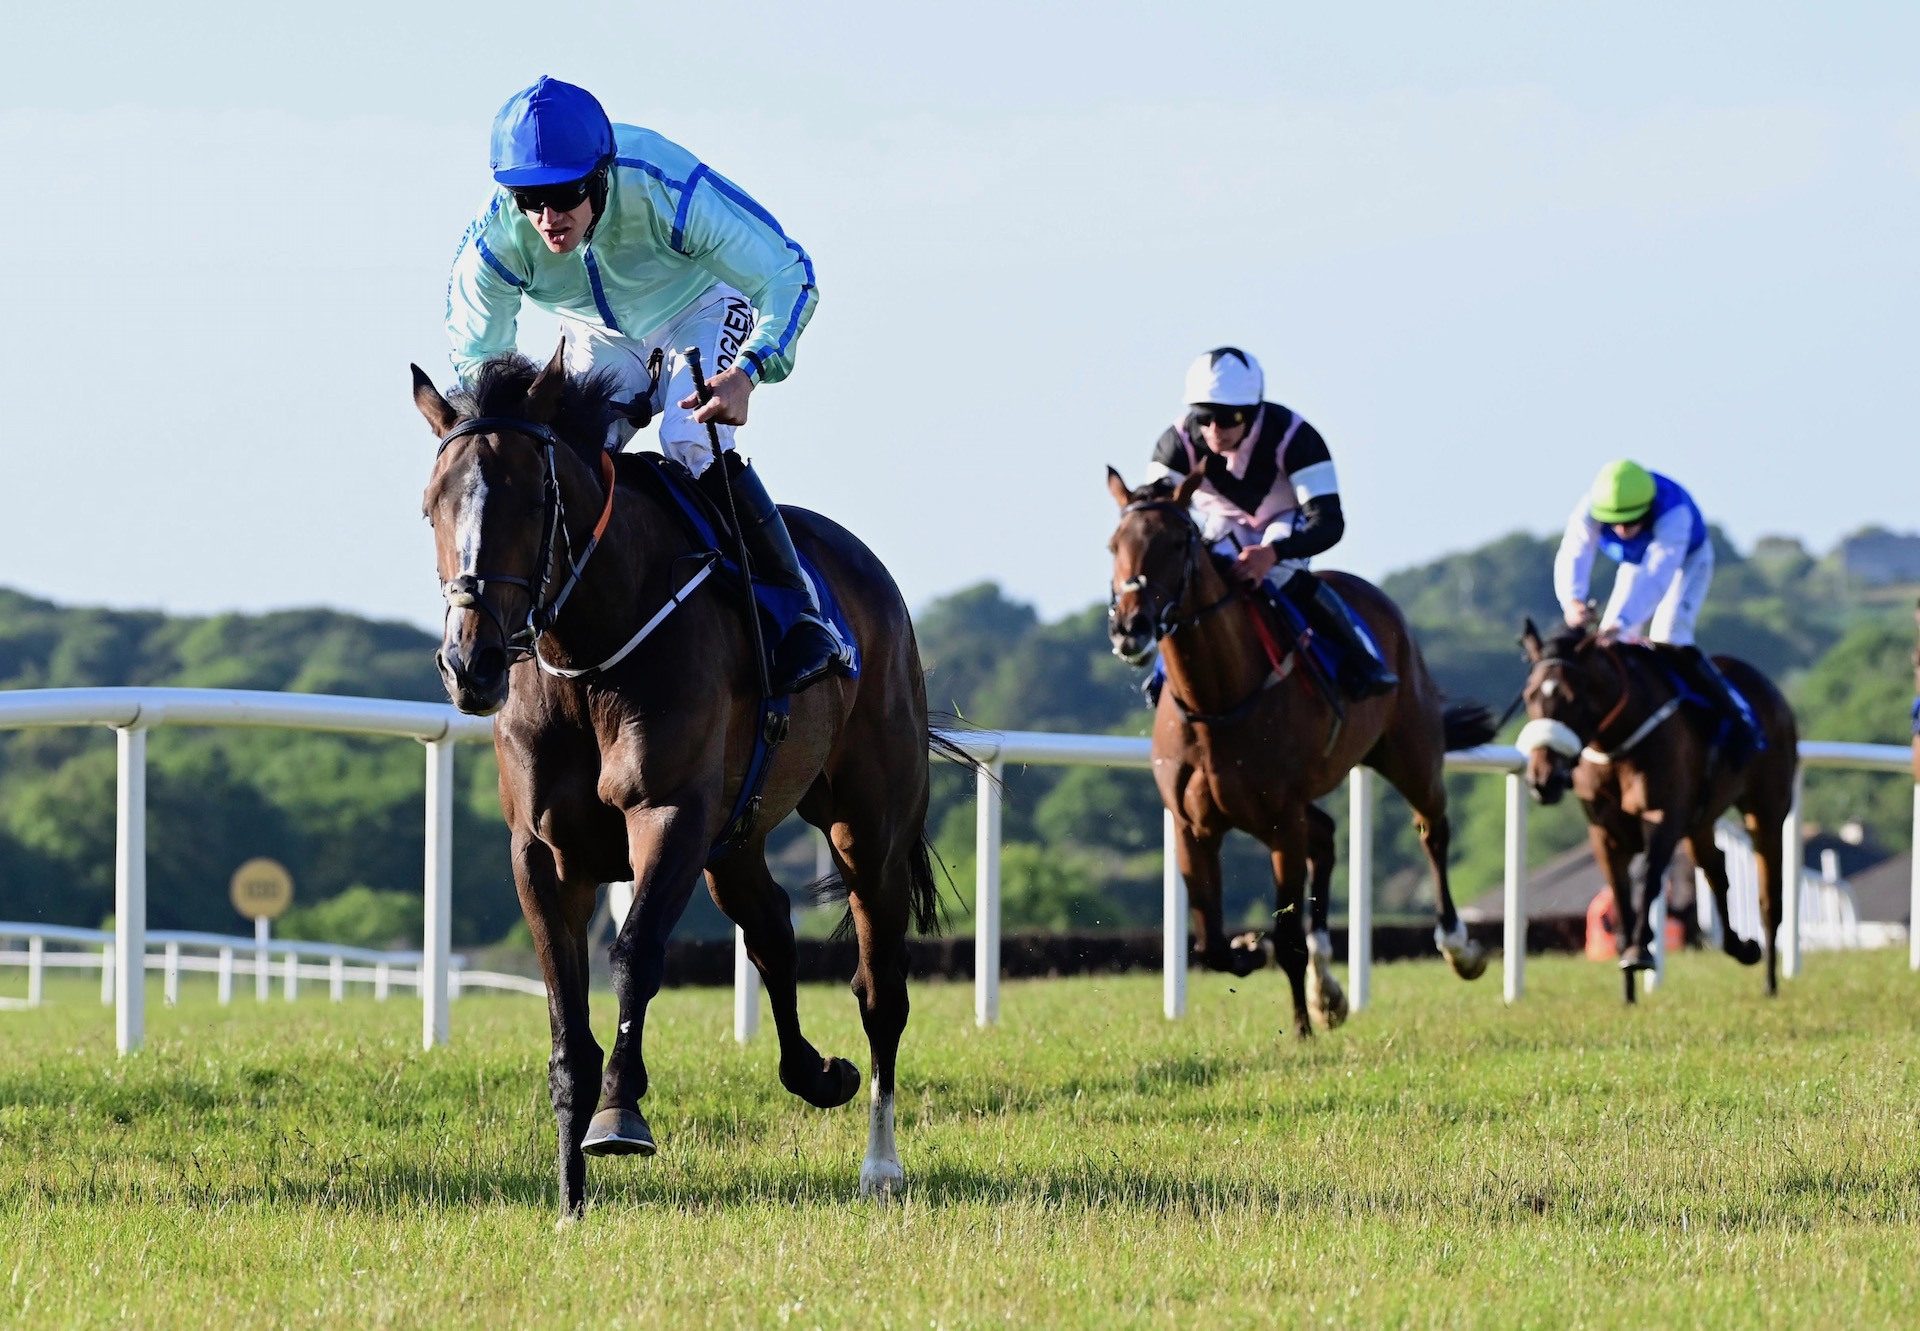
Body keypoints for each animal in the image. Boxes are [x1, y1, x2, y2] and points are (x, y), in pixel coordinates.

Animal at [414, 345, 944, 1213]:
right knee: (771, 928)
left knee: (880, 988)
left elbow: (635, 955)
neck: (589, 649)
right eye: (433, 504)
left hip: (869, 826)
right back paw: (817, 1073)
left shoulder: (667, 815)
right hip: (736, 837)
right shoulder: (543, 853)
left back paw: (881, 1161)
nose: (473, 664)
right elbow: (566, 1018)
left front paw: (619, 1113)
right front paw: (569, 1195)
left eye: (533, 498)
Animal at [1105, 470, 1489, 1037]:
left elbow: (1285, 937)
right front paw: (1253, 952)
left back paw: (1457, 946)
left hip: (1411, 754)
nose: (1130, 627)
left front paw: (1303, 1028)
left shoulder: (1281, 822)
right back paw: (1326, 985)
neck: (1217, 701)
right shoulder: (1192, 827)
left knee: (1431, 829)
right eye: (1115, 545)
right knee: (1326, 838)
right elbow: (1210, 942)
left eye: (1176, 544)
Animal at [1512, 622, 1797, 998]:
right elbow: (1620, 896)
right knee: (1717, 872)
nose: (1543, 779)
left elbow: (1648, 877)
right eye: (1530, 695)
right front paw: (1628, 990)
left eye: (1572, 698)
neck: (1617, 744)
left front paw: (1638, 952)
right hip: (1700, 822)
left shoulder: (1663, 818)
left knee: (1769, 898)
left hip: (1766, 810)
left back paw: (1770, 982)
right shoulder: (1604, 834)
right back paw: (1741, 948)